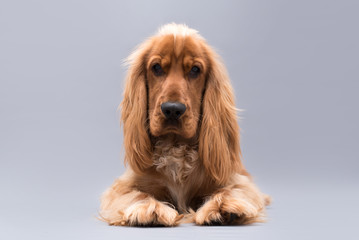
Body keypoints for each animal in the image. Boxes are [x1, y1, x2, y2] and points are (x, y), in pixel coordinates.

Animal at [100, 23, 272, 226]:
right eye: (156, 67)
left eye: (195, 70)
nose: (172, 109)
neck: (175, 145)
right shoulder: (121, 187)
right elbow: (137, 195)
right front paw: (149, 209)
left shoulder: (238, 182)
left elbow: (231, 190)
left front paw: (222, 207)